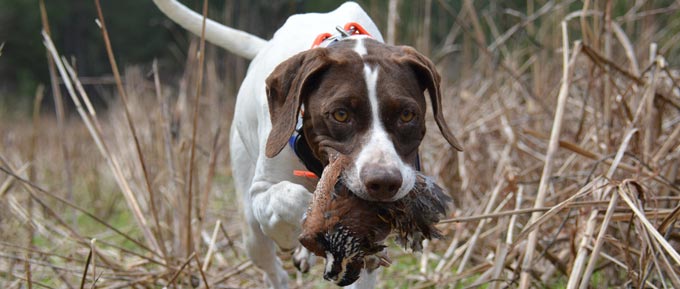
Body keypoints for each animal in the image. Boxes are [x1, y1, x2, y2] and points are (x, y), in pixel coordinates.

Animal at [153, 1, 462, 286]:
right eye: (340, 114)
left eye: (407, 115)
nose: (384, 182)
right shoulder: (262, 192)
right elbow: (291, 197)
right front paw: (308, 222)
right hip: (251, 228)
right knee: (271, 266)